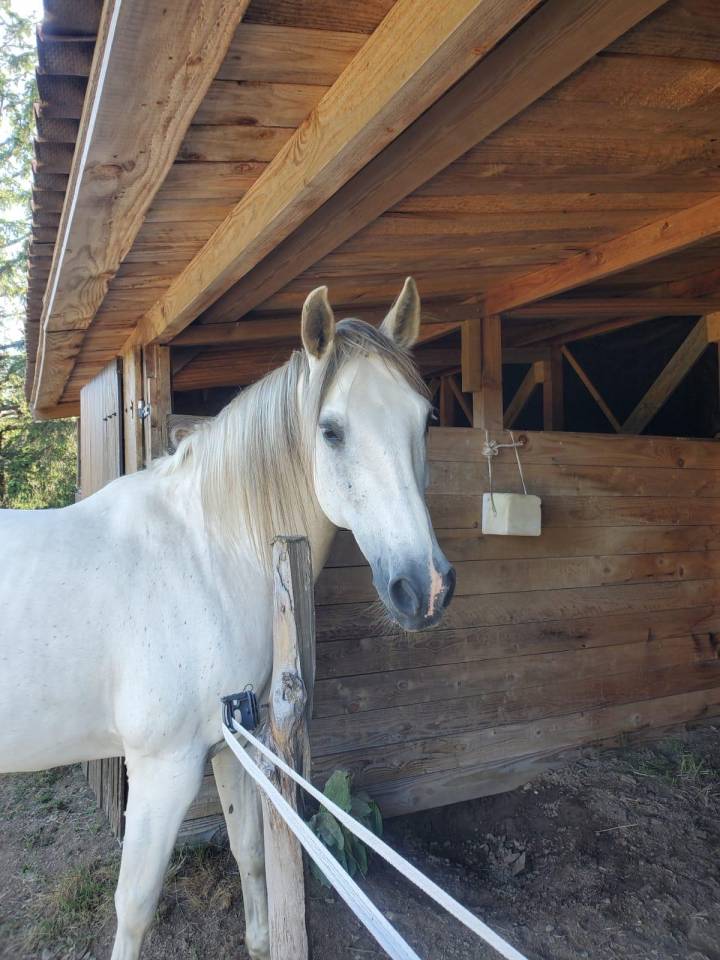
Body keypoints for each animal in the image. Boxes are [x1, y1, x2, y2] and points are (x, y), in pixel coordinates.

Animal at [0, 277, 455, 960]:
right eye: (331, 430)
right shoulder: (161, 771)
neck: (204, 556)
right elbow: (135, 906)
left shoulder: (230, 741)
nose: (423, 587)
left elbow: (252, 856)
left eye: (424, 418)